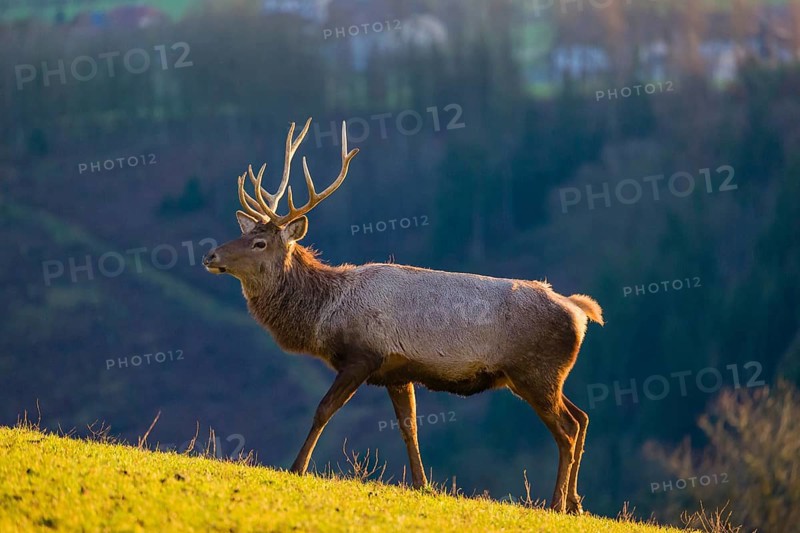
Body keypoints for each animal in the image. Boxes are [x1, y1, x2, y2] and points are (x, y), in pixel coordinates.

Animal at [202, 118, 603, 514]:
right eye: (246, 234)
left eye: (259, 243)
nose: (210, 255)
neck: (326, 313)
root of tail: (580, 313)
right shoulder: (397, 370)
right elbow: (409, 425)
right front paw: (422, 484)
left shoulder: (363, 356)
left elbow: (324, 409)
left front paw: (296, 467)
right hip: (541, 376)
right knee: (582, 417)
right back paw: (575, 503)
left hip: (536, 372)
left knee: (567, 429)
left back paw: (556, 503)